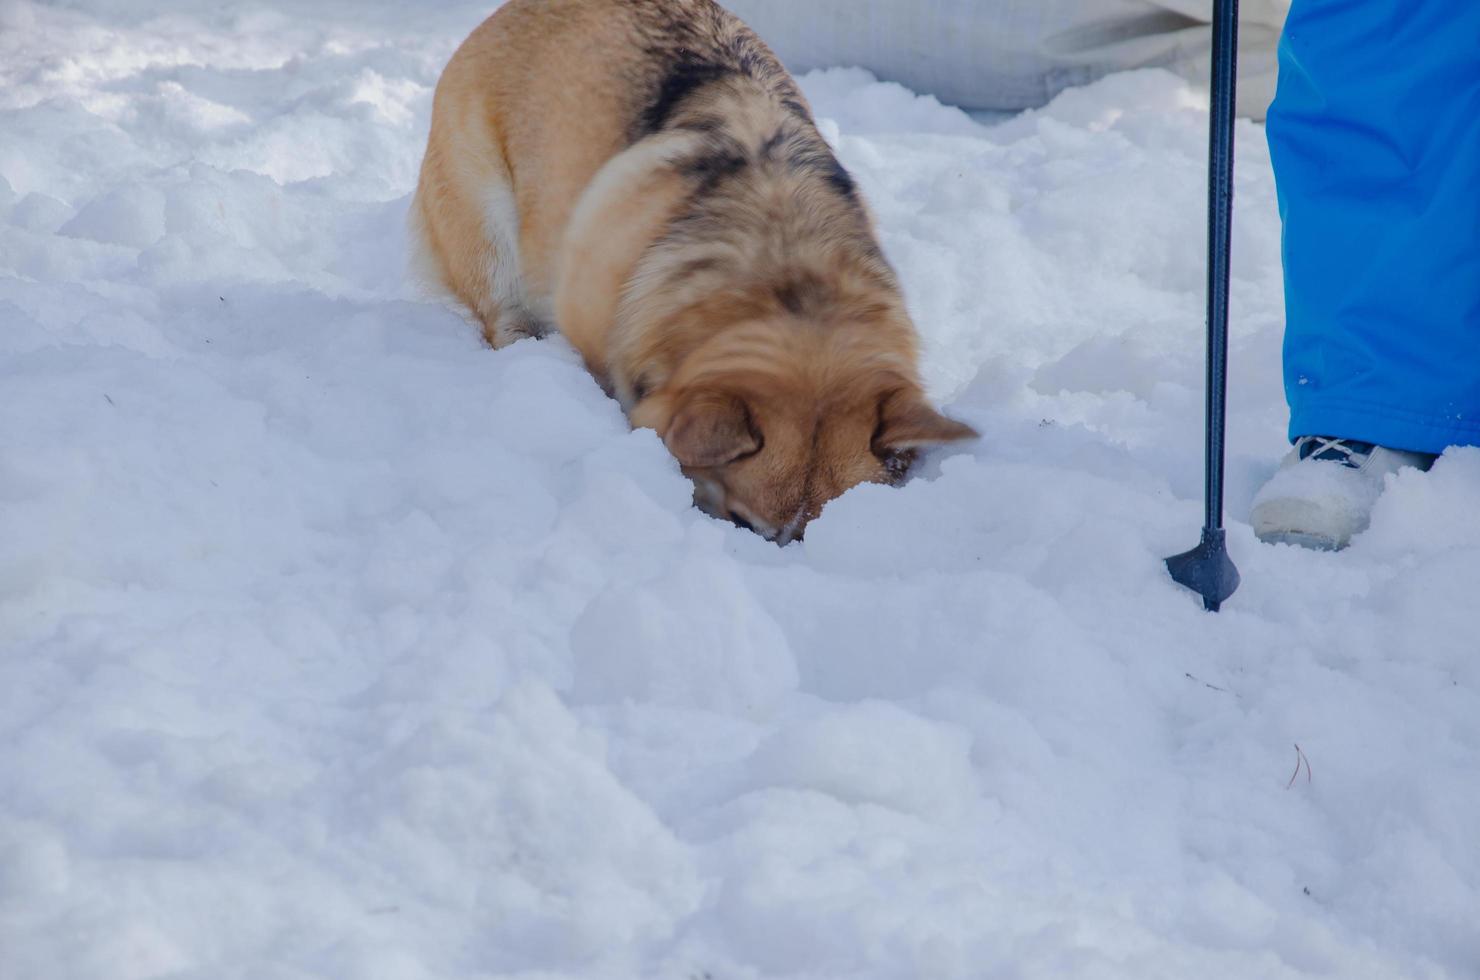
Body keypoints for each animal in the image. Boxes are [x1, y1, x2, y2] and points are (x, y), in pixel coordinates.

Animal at [411, 0, 976, 544]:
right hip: (488, 218)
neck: (788, 280)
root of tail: (507, 11)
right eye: (743, 523)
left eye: (809, 531)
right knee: (502, 310)